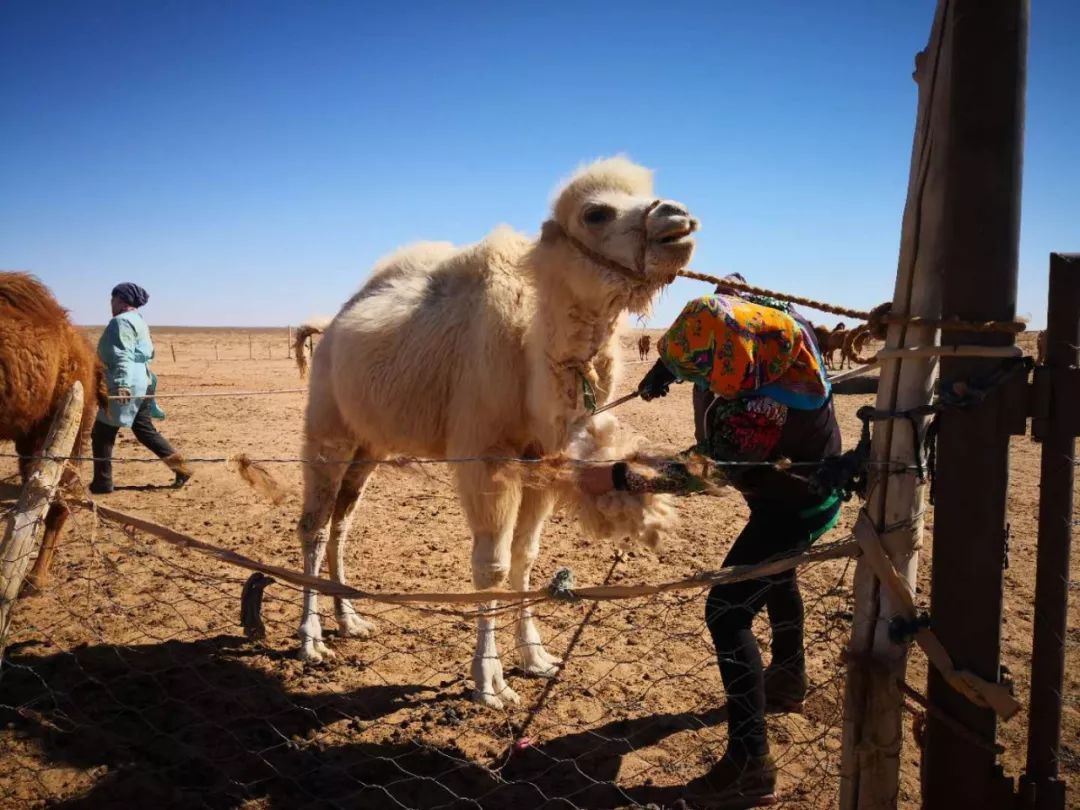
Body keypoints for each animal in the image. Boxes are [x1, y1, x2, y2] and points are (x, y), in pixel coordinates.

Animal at [295, 156, 699, 704]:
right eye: (596, 213)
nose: (678, 218)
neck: (531, 357)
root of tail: (329, 326)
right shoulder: (486, 458)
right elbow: (492, 567)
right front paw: (489, 682)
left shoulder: (541, 461)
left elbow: (526, 558)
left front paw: (536, 659)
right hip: (328, 428)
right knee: (314, 526)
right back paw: (310, 641)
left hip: (370, 444)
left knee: (343, 521)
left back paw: (351, 621)